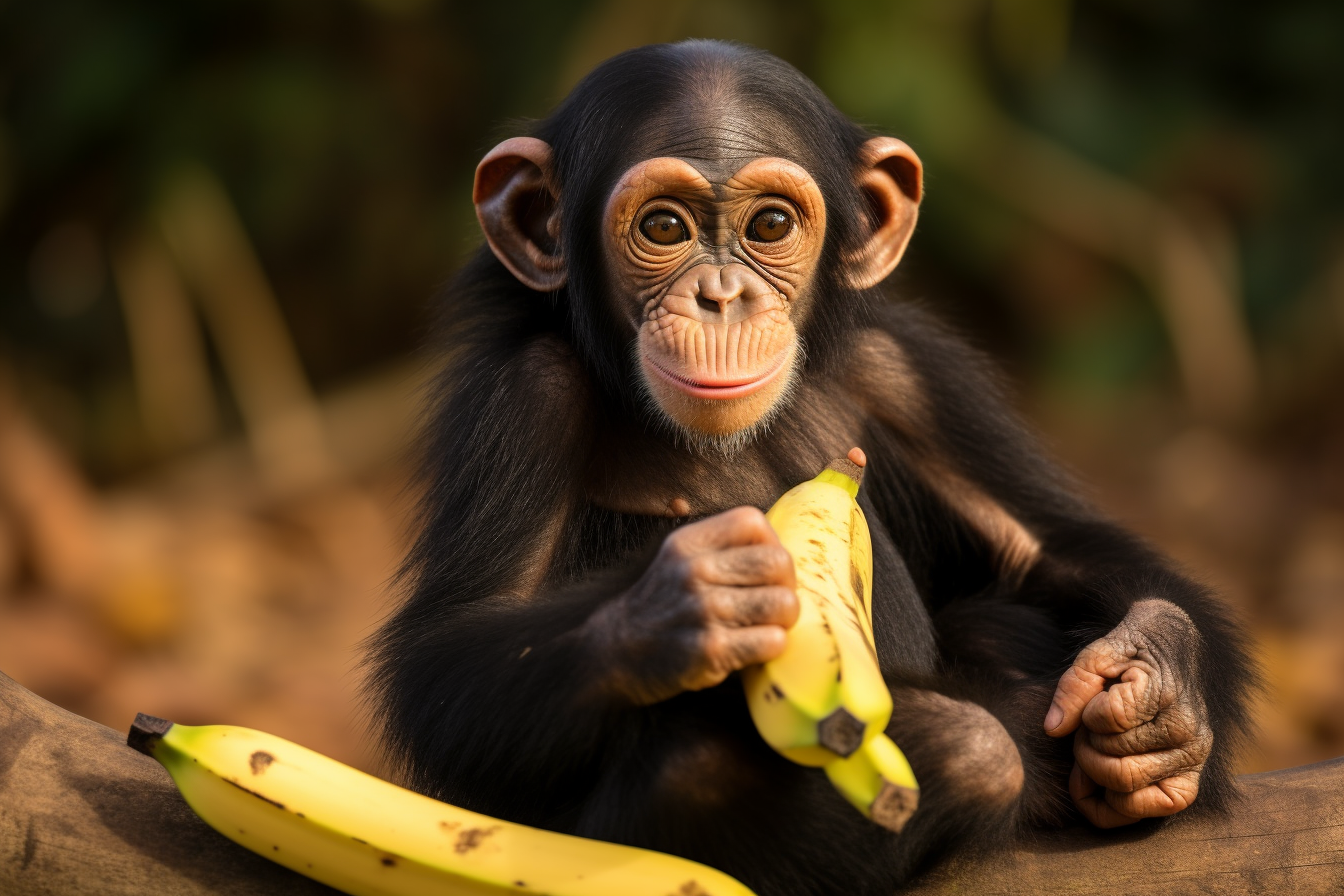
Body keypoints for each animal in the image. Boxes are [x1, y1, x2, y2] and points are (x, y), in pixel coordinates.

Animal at [365, 38, 1247, 891]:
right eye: (663, 229)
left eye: (770, 224)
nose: (722, 297)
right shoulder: (522, 401)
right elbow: (449, 652)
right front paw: (683, 600)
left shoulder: (905, 372)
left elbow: (1043, 547)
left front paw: (1159, 692)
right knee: (945, 749)